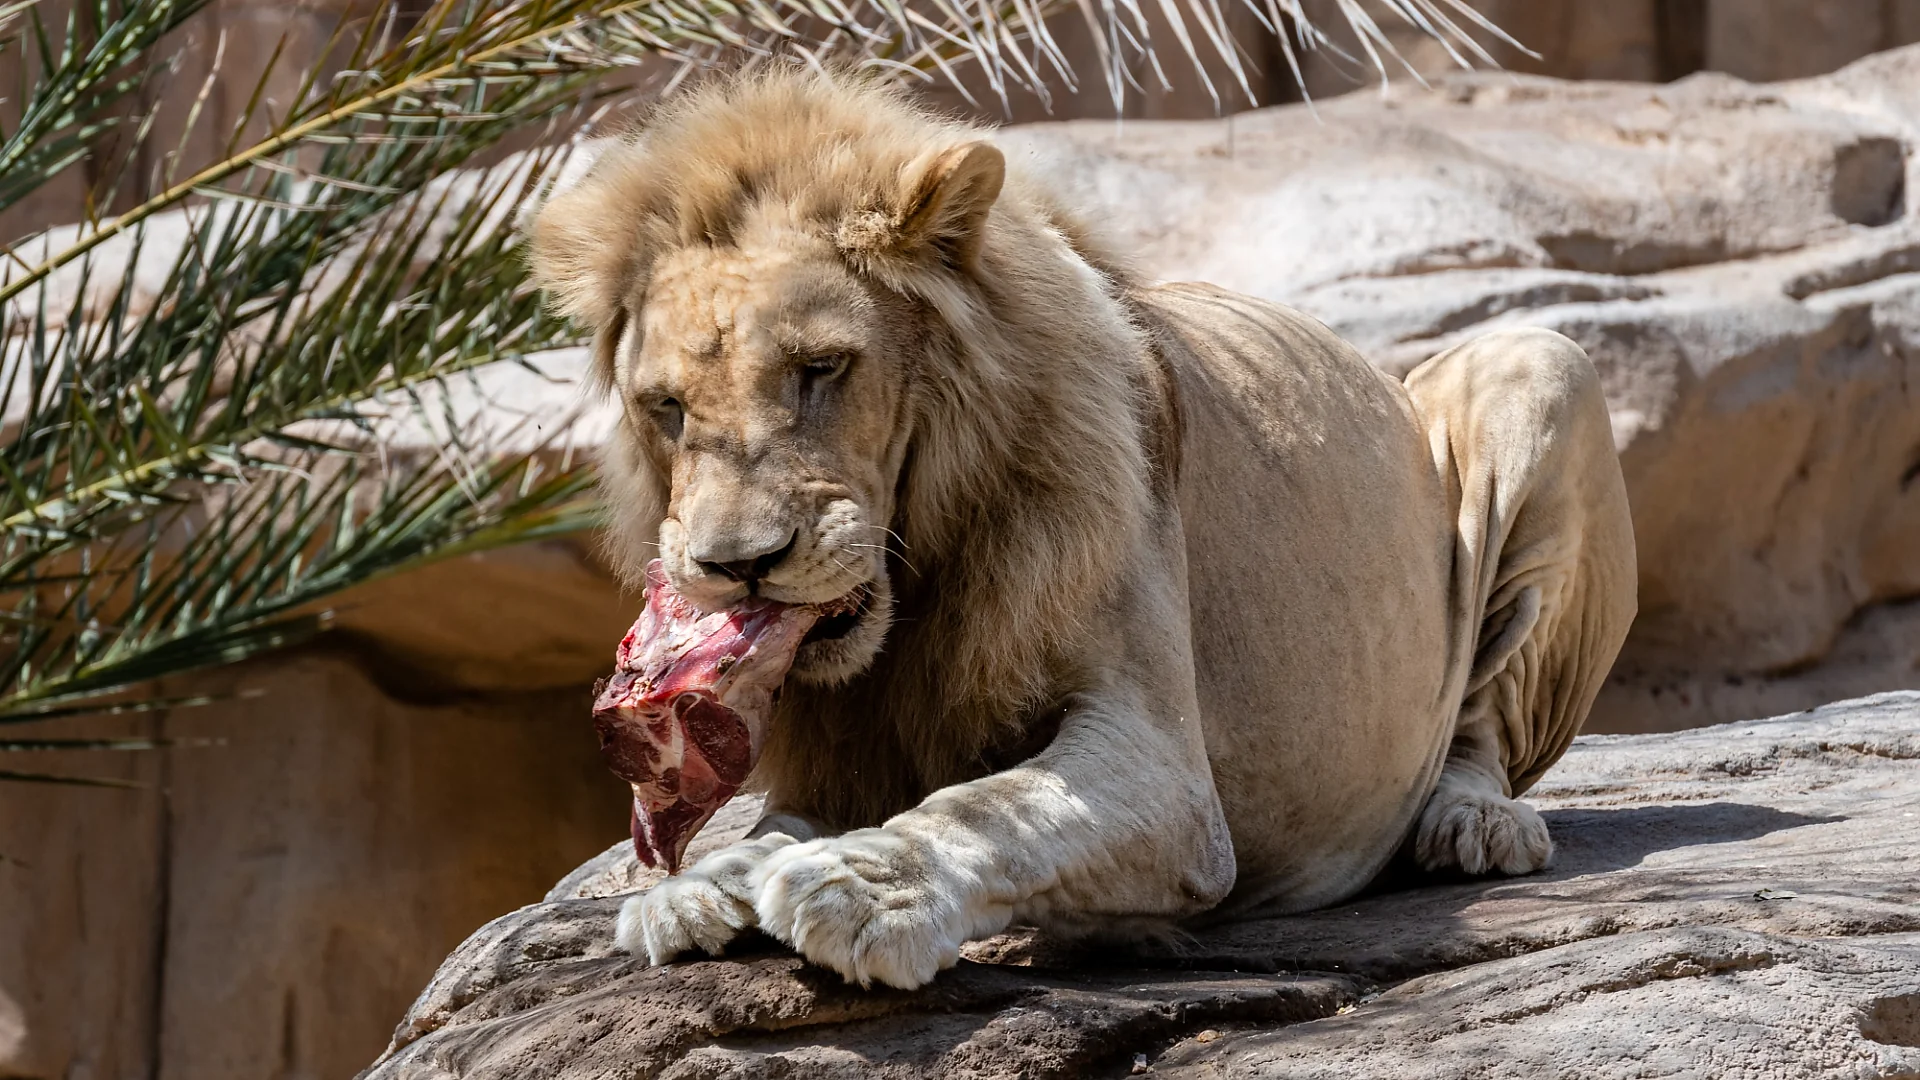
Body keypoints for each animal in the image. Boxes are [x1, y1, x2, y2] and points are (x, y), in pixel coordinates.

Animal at [527, 69, 1638, 991]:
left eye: (820, 369)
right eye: (667, 408)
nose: (737, 567)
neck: (917, 580)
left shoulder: (1172, 777)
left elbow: (990, 807)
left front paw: (863, 888)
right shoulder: (849, 748)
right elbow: (773, 825)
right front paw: (697, 884)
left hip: (1542, 365)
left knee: (1484, 715)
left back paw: (1472, 821)